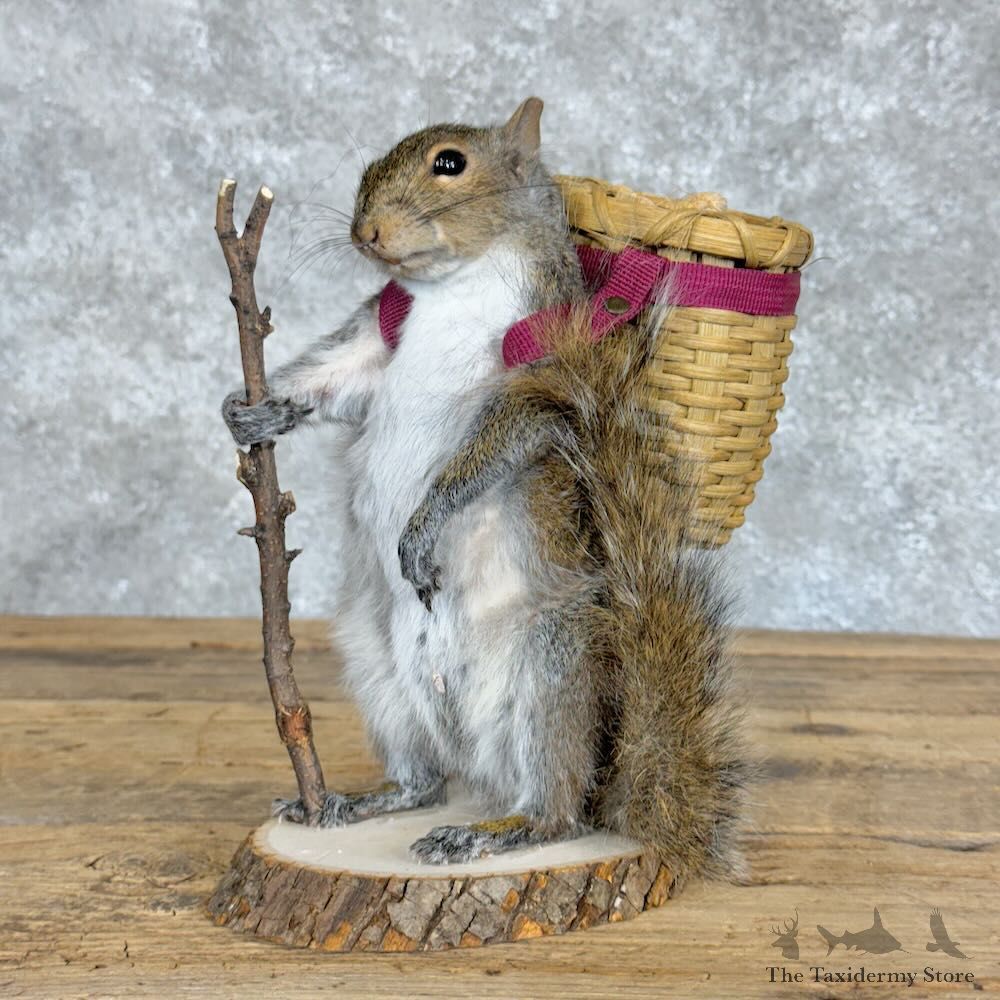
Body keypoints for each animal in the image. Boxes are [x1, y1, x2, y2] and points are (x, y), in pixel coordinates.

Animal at [222, 97, 752, 884]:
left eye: (450, 163)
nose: (364, 233)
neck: (453, 285)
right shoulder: (381, 336)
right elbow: (336, 378)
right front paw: (255, 409)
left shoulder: (546, 366)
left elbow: (494, 446)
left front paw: (420, 529)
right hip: (378, 672)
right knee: (424, 782)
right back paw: (356, 802)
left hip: (552, 671)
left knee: (557, 812)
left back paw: (491, 833)